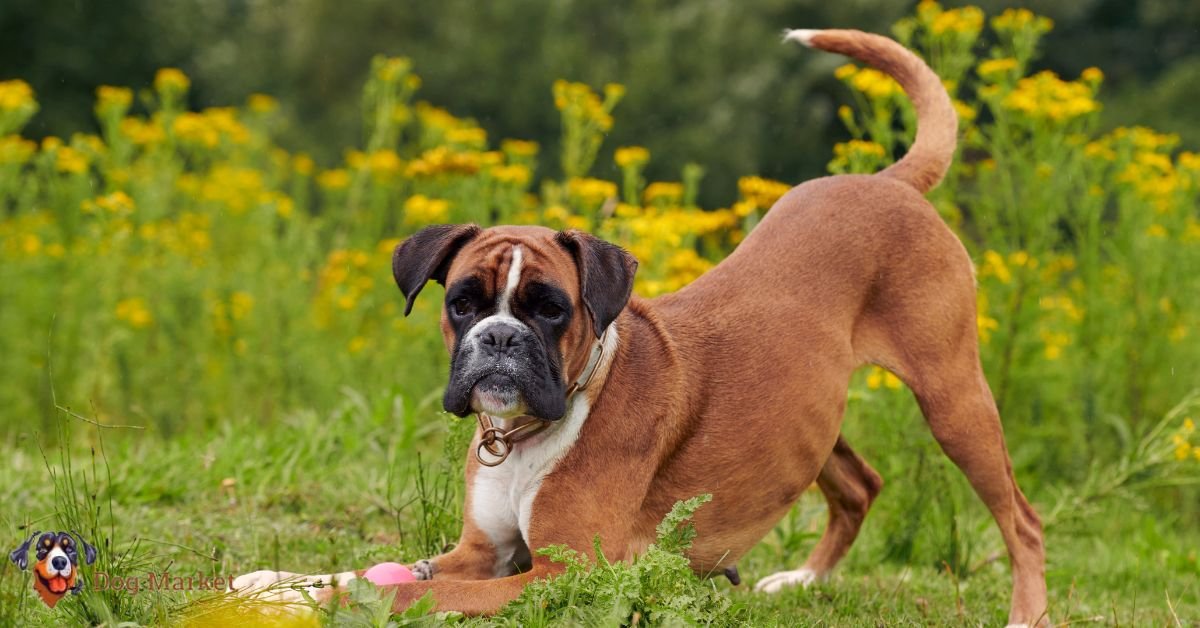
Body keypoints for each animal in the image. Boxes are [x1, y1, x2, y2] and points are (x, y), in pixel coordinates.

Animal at [231, 28, 1041, 624]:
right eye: (463, 301)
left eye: (549, 309)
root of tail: (888, 183)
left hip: (954, 399)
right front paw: (275, 581)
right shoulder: (481, 552)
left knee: (1022, 521)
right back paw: (803, 582)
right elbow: (371, 568)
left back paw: (1024, 613)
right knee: (860, 485)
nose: (499, 339)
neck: (531, 431)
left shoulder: (557, 573)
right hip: (811, 415)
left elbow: (408, 587)